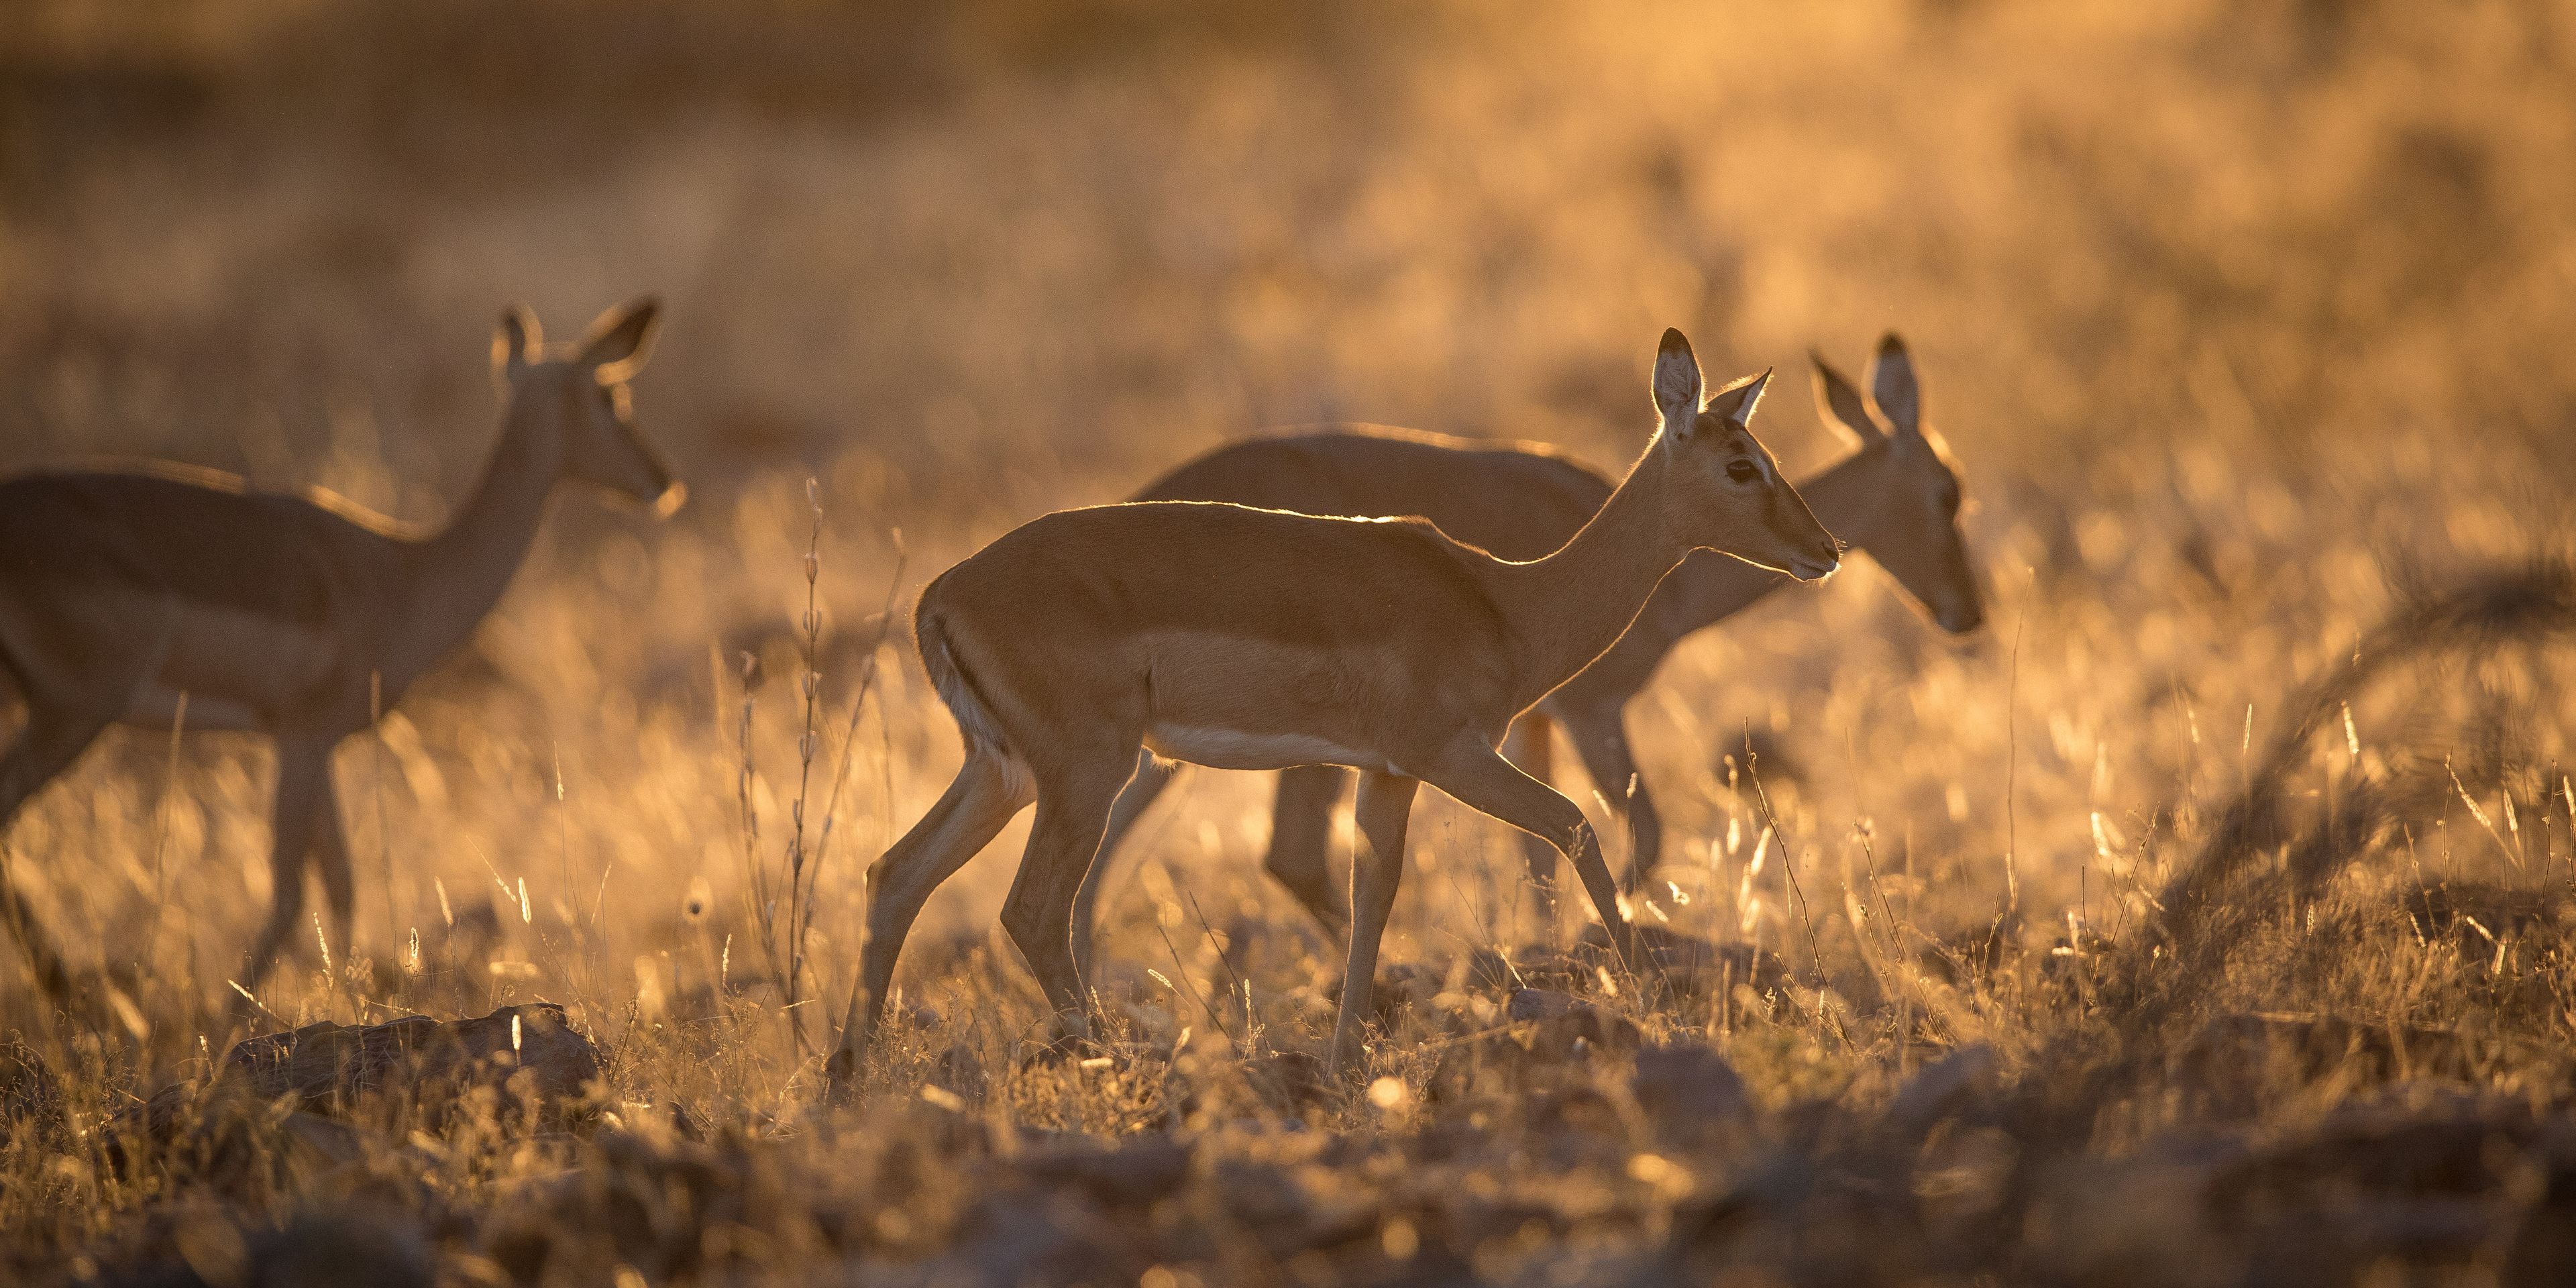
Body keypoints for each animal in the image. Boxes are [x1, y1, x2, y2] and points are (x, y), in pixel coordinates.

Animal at [0, 298, 681, 1003]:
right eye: (611, 396)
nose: (661, 481)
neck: (405, 574)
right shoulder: (302, 738)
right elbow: (292, 891)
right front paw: (234, 1016)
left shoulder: (313, 745)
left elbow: (340, 885)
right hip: (72, 711)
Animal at [826, 328, 1840, 1088]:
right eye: (1741, 465)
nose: (1824, 550)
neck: (1507, 604)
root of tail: (940, 595)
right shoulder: (1450, 756)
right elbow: (1575, 826)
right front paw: (1660, 1014)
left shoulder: (1386, 775)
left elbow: (1372, 899)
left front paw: (1346, 1059)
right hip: (1087, 773)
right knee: (1031, 911)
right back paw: (1118, 1067)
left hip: (1001, 772)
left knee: (894, 875)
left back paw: (845, 1083)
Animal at [1071, 335, 1981, 970]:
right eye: (1948, 492)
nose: (1968, 611)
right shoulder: (1589, 708)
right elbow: (1638, 833)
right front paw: (1585, 948)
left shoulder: (1530, 726)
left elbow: (1543, 858)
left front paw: (1544, 946)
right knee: (1276, 853)